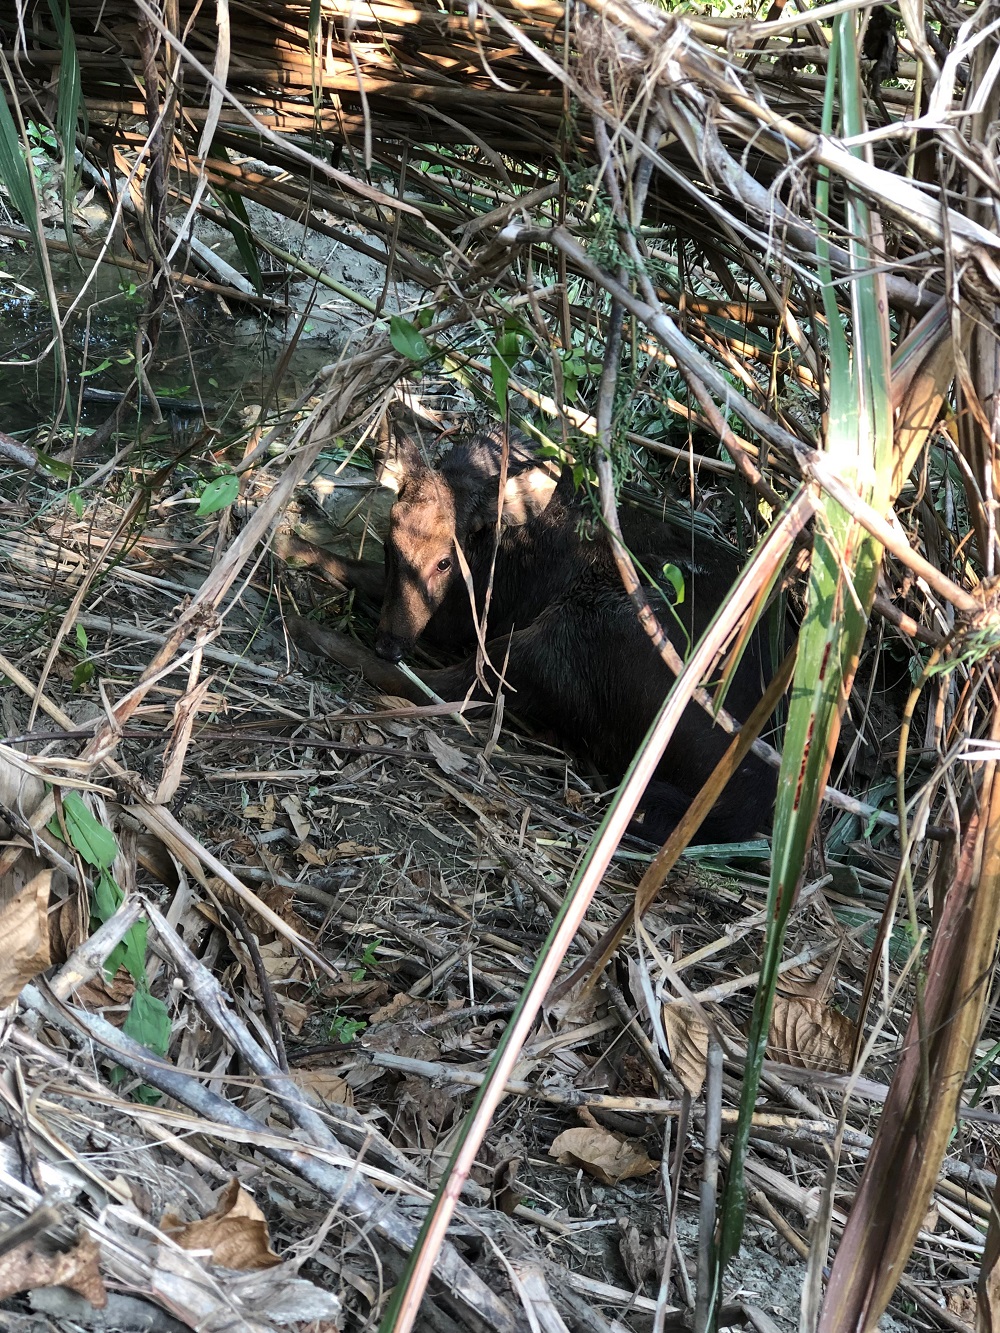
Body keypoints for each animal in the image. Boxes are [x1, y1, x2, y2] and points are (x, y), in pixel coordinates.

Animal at [283, 418, 778, 844]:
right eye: (390, 545)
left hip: (581, 628)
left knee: (451, 688)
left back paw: (308, 630)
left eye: (445, 561)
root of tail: (749, 798)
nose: (390, 643)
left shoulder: (467, 616)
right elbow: (358, 567)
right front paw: (292, 543)